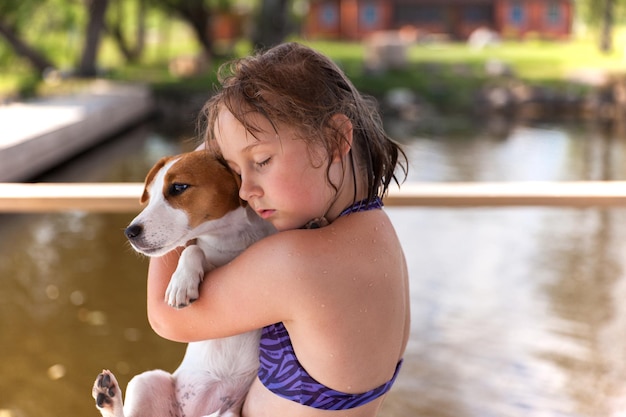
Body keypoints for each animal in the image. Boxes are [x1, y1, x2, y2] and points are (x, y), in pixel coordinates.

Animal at [92, 150, 276, 416]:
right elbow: (192, 250)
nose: (130, 232)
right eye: (150, 196)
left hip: (229, 412)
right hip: (146, 380)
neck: (235, 238)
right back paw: (108, 396)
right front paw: (180, 284)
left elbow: (192, 250)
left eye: (178, 187)